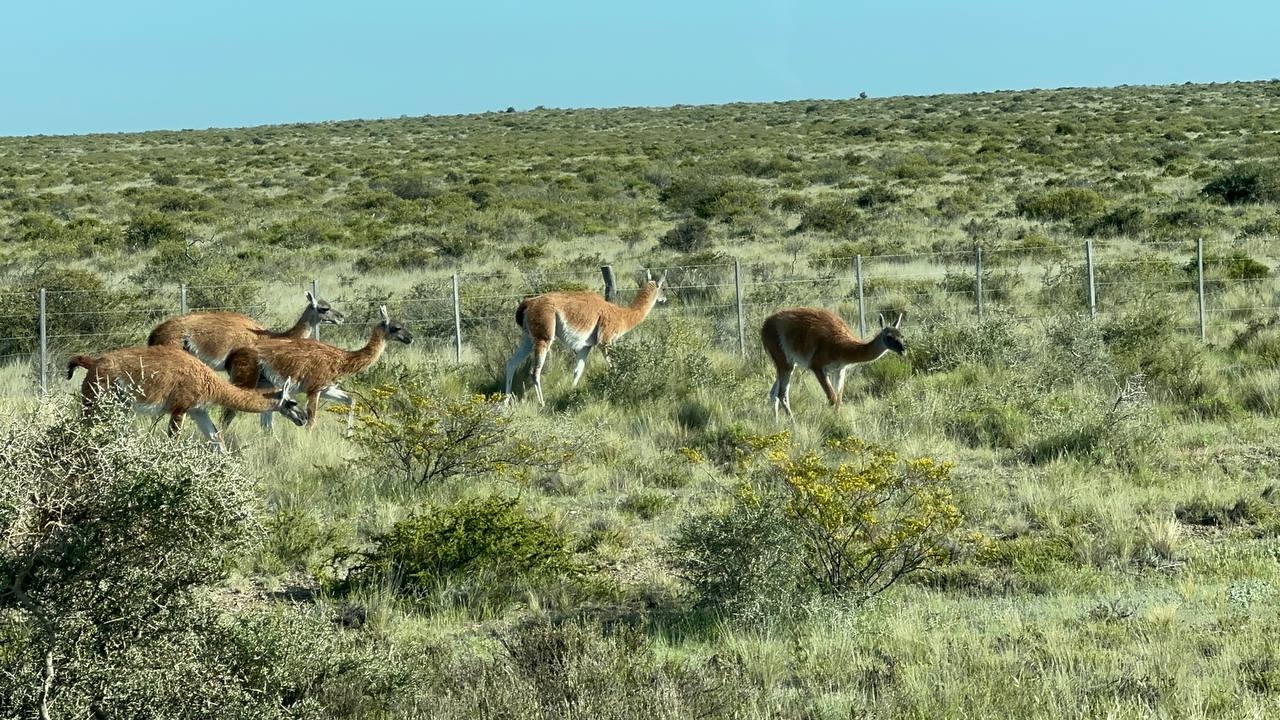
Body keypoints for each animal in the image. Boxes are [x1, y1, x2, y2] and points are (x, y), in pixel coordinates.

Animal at [66, 344, 307, 452]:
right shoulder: (180, 407)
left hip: (119, 407)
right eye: (292, 402)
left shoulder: (197, 410)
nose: (304, 418)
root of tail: (94, 362)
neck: (210, 383)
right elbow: (173, 441)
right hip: (95, 400)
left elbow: (216, 438)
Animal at [221, 306, 413, 434]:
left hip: (266, 385)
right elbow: (312, 420)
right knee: (229, 411)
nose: (410, 337)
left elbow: (351, 400)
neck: (342, 359)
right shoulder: (314, 388)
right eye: (396, 327)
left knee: (264, 421)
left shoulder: (327, 389)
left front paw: (348, 433)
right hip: (246, 378)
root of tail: (232, 356)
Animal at [504, 270, 667, 405]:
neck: (621, 316)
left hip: (528, 337)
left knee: (511, 363)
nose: (665, 299)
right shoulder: (605, 341)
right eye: (664, 288)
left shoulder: (586, 346)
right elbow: (613, 367)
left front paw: (570, 393)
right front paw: (618, 385)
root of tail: (529, 302)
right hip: (544, 334)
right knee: (534, 372)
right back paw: (541, 403)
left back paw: (505, 401)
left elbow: (578, 370)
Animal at [760, 308, 905, 419]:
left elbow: (839, 399)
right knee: (782, 394)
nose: (903, 350)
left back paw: (776, 422)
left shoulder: (839, 369)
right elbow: (832, 398)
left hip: (784, 362)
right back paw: (793, 423)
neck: (842, 347)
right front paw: (830, 420)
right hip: (783, 360)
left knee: (773, 394)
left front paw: (837, 420)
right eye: (889, 337)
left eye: (901, 336)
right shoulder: (817, 366)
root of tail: (764, 326)